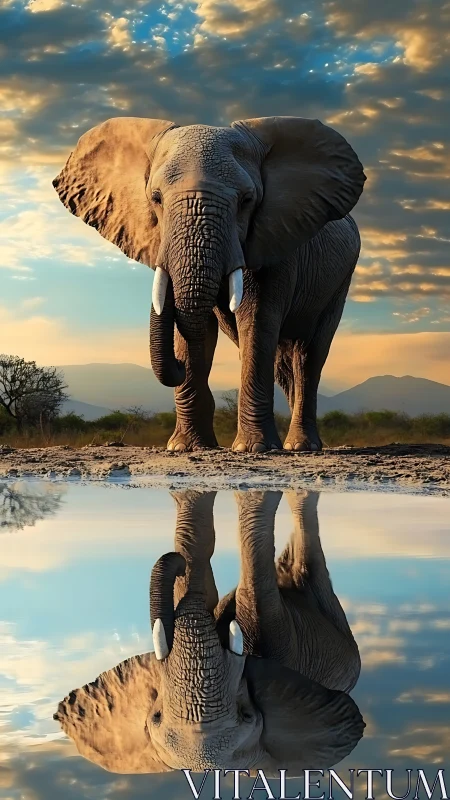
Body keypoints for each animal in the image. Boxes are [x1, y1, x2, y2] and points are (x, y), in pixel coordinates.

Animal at [53, 116, 366, 453]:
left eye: (246, 201)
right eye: (156, 198)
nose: (176, 366)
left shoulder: (276, 240)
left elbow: (255, 318)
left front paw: (253, 448)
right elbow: (194, 326)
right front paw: (185, 447)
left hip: (341, 281)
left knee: (310, 353)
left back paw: (301, 446)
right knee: (283, 361)